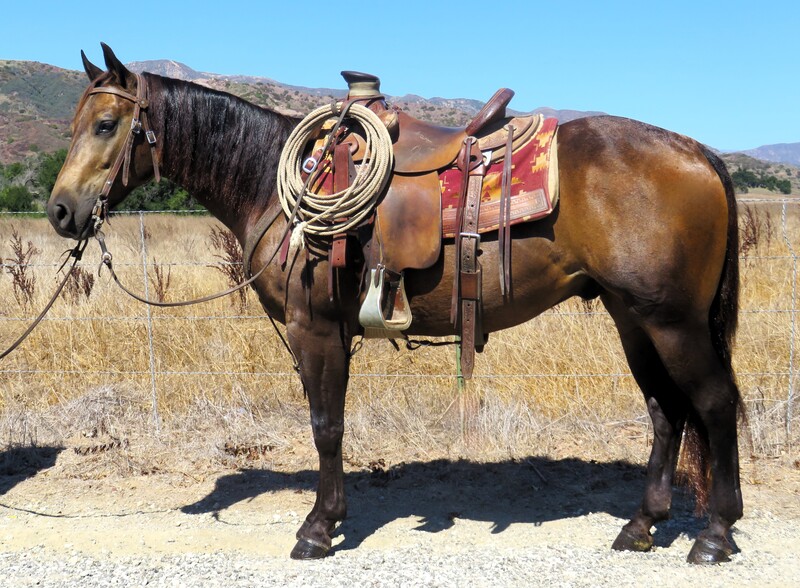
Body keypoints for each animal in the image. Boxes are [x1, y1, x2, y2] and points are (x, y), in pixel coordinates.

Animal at [45, 43, 744, 564]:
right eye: (75, 125)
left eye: (106, 125)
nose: (60, 212)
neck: (268, 179)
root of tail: (698, 152)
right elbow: (329, 423)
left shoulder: (314, 329)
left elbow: (325, 426)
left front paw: (318, 528)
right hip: (634, 318)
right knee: (665, 412)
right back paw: (641, 526)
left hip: (672, 322)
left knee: (713, 404)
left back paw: (714, 535)